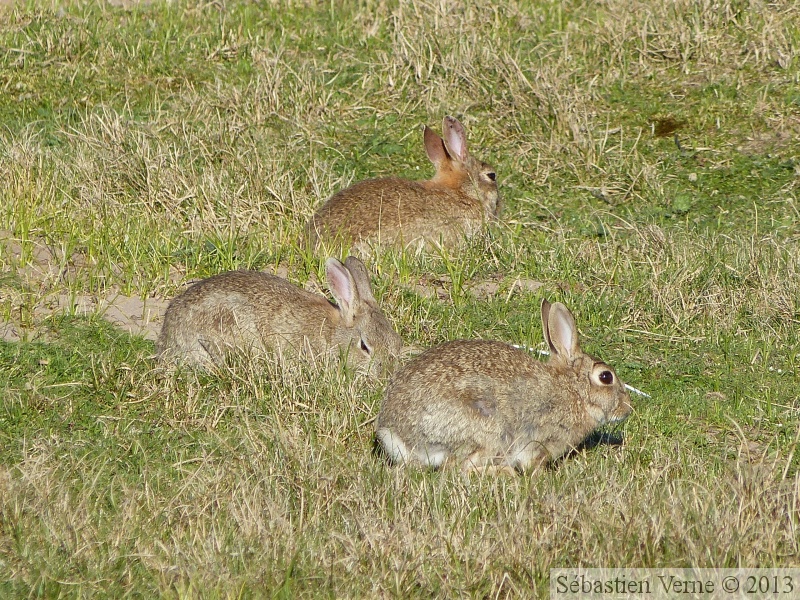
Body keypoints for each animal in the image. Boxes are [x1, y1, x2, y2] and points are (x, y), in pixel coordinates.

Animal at [376, 300, 632, 474]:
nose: (627, 407)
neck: (573, 391)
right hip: (488, 431)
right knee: (458, 469)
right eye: (606, 377)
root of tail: (396, 434)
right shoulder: (539, 441)